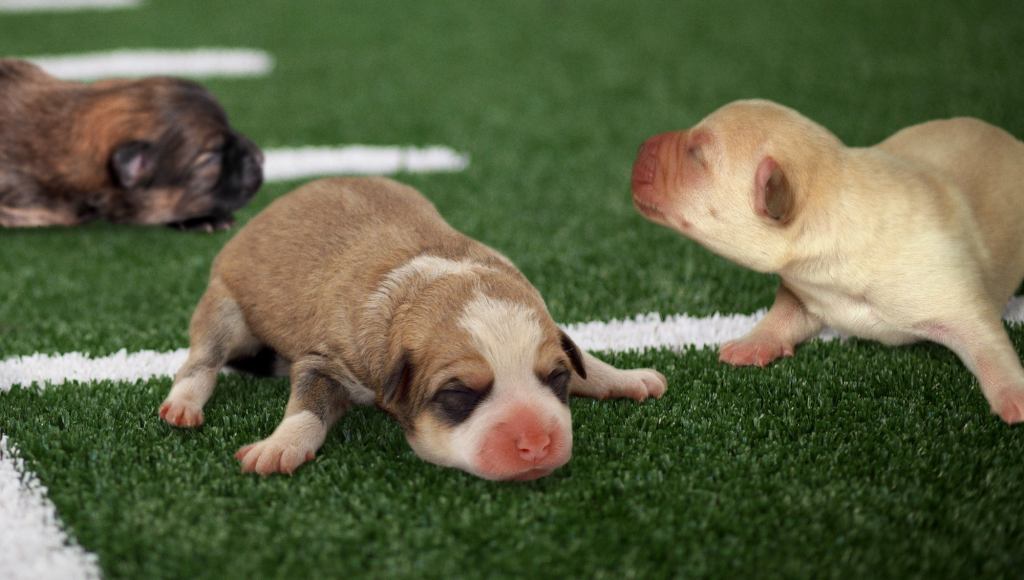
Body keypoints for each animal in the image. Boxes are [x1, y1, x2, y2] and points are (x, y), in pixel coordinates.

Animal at [158, 177, 667, 481]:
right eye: (459, 394)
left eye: (557, 378)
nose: (538, 444)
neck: (434, 286)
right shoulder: (325, 361)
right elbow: (306, 407)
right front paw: (279, 446)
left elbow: (587, 361)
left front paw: (627, 377)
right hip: (224, 305)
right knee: (201, 360)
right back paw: (183, 403)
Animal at [630, 99, 1024, 424]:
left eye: (696, 154)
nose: (640, 146)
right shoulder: (804, 290)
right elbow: (783, 314)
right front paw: (754, 341)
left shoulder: (958, 301)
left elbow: (990, 347)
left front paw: (1014, 394)